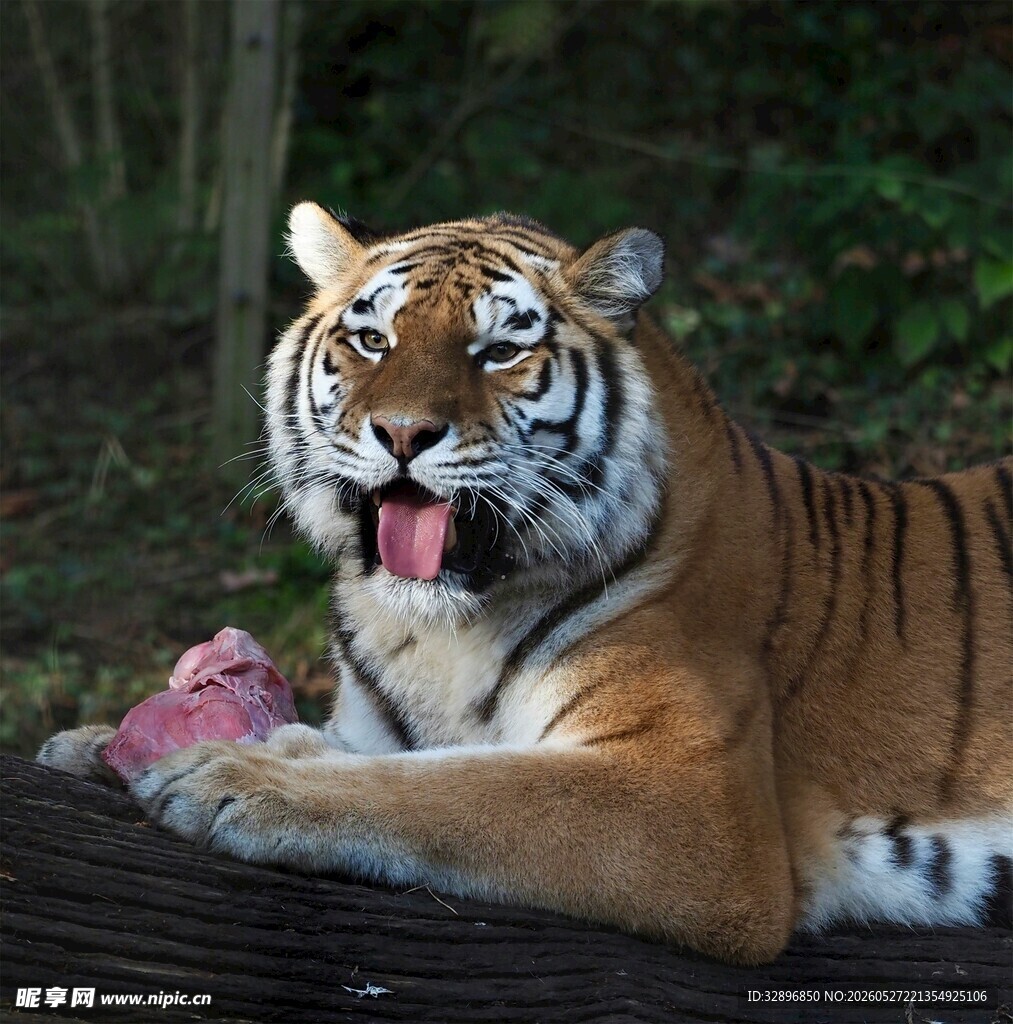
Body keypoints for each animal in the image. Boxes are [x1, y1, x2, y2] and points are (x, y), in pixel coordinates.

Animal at [38, 202, 1012, 965]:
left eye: (500, 349)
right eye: (371, 340)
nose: (402, 432)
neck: (432, 629)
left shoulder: (695, 802)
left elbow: (460, 789)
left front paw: (233, 775)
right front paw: (99, 742)